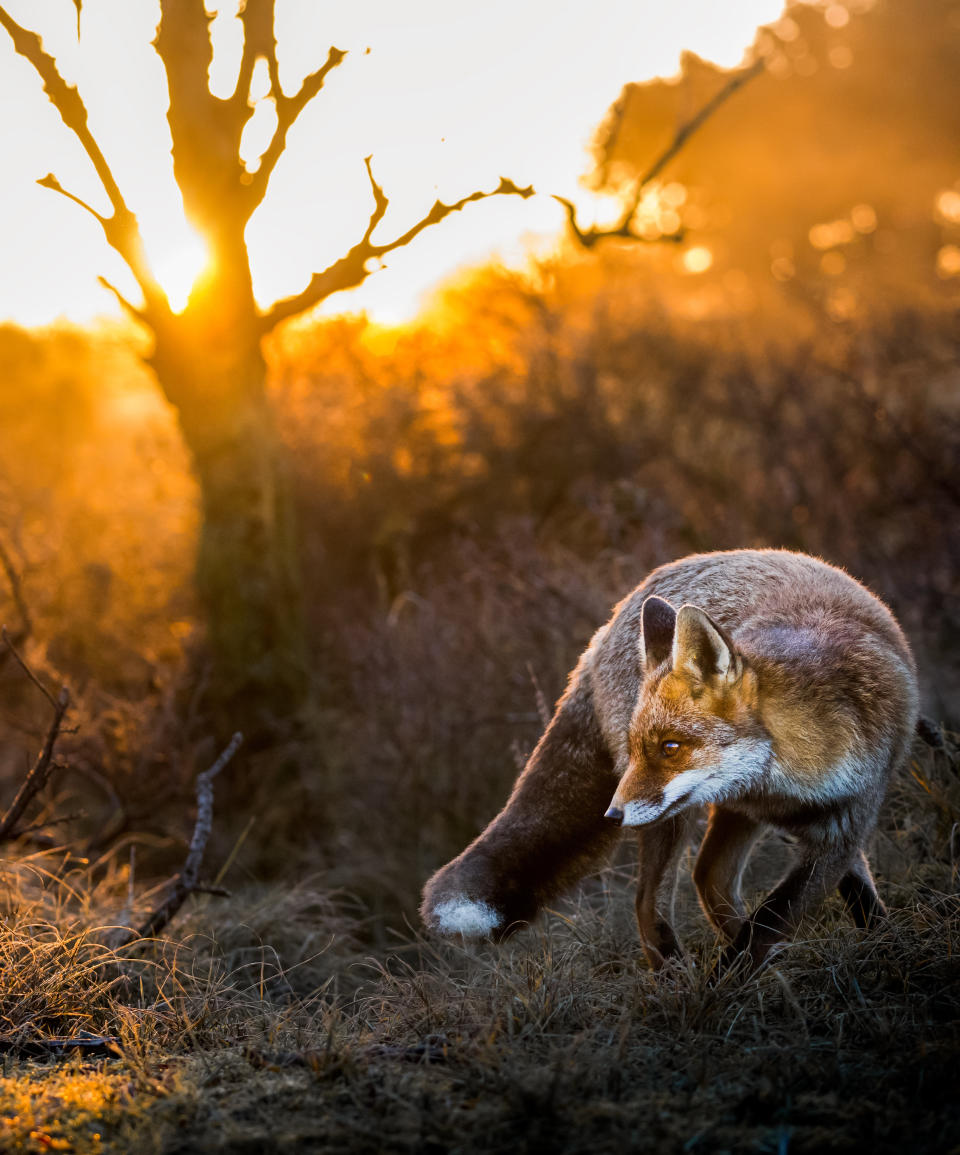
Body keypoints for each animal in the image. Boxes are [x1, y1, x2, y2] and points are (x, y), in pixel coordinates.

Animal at [422, 549, 924, 974]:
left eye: (670, 747)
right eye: (640, 747)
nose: (612, 814)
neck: (790, 777)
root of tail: (607, 626)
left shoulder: (843, 824)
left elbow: (799, 910)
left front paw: (884, 946)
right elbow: (768, 921)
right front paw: (719, 994)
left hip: (723, 816)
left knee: (710, 878)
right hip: (673, 818)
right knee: (651, 900)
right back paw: (676, 979)